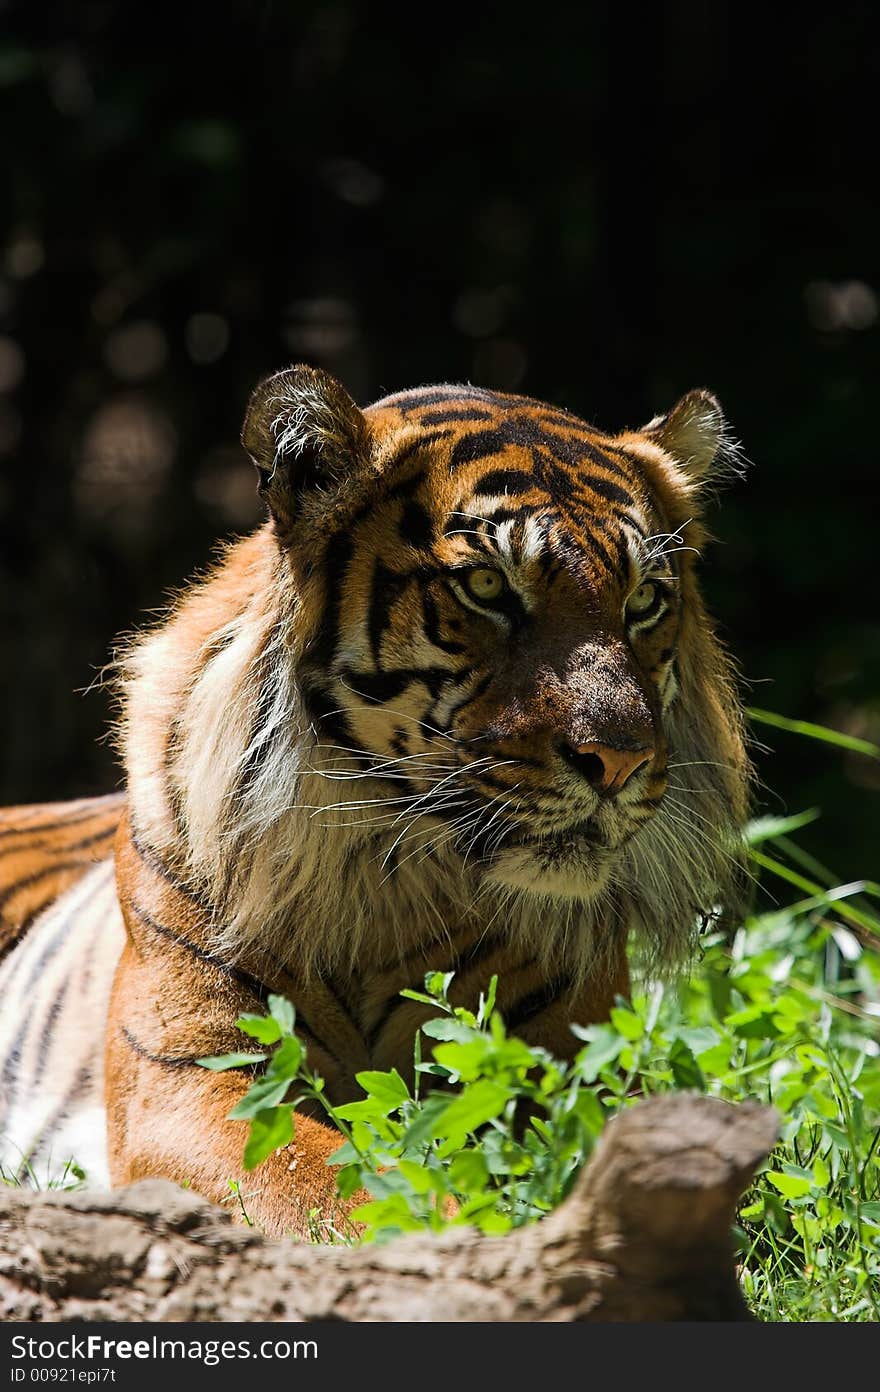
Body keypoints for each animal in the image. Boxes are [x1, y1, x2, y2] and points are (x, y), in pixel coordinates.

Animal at [0, 364, 751, 1236]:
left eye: (646, 600)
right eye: (486, 586)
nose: (621, 759)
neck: (383, 875)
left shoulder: (563, 1060)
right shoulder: (194, 1071)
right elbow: (338, 1182)